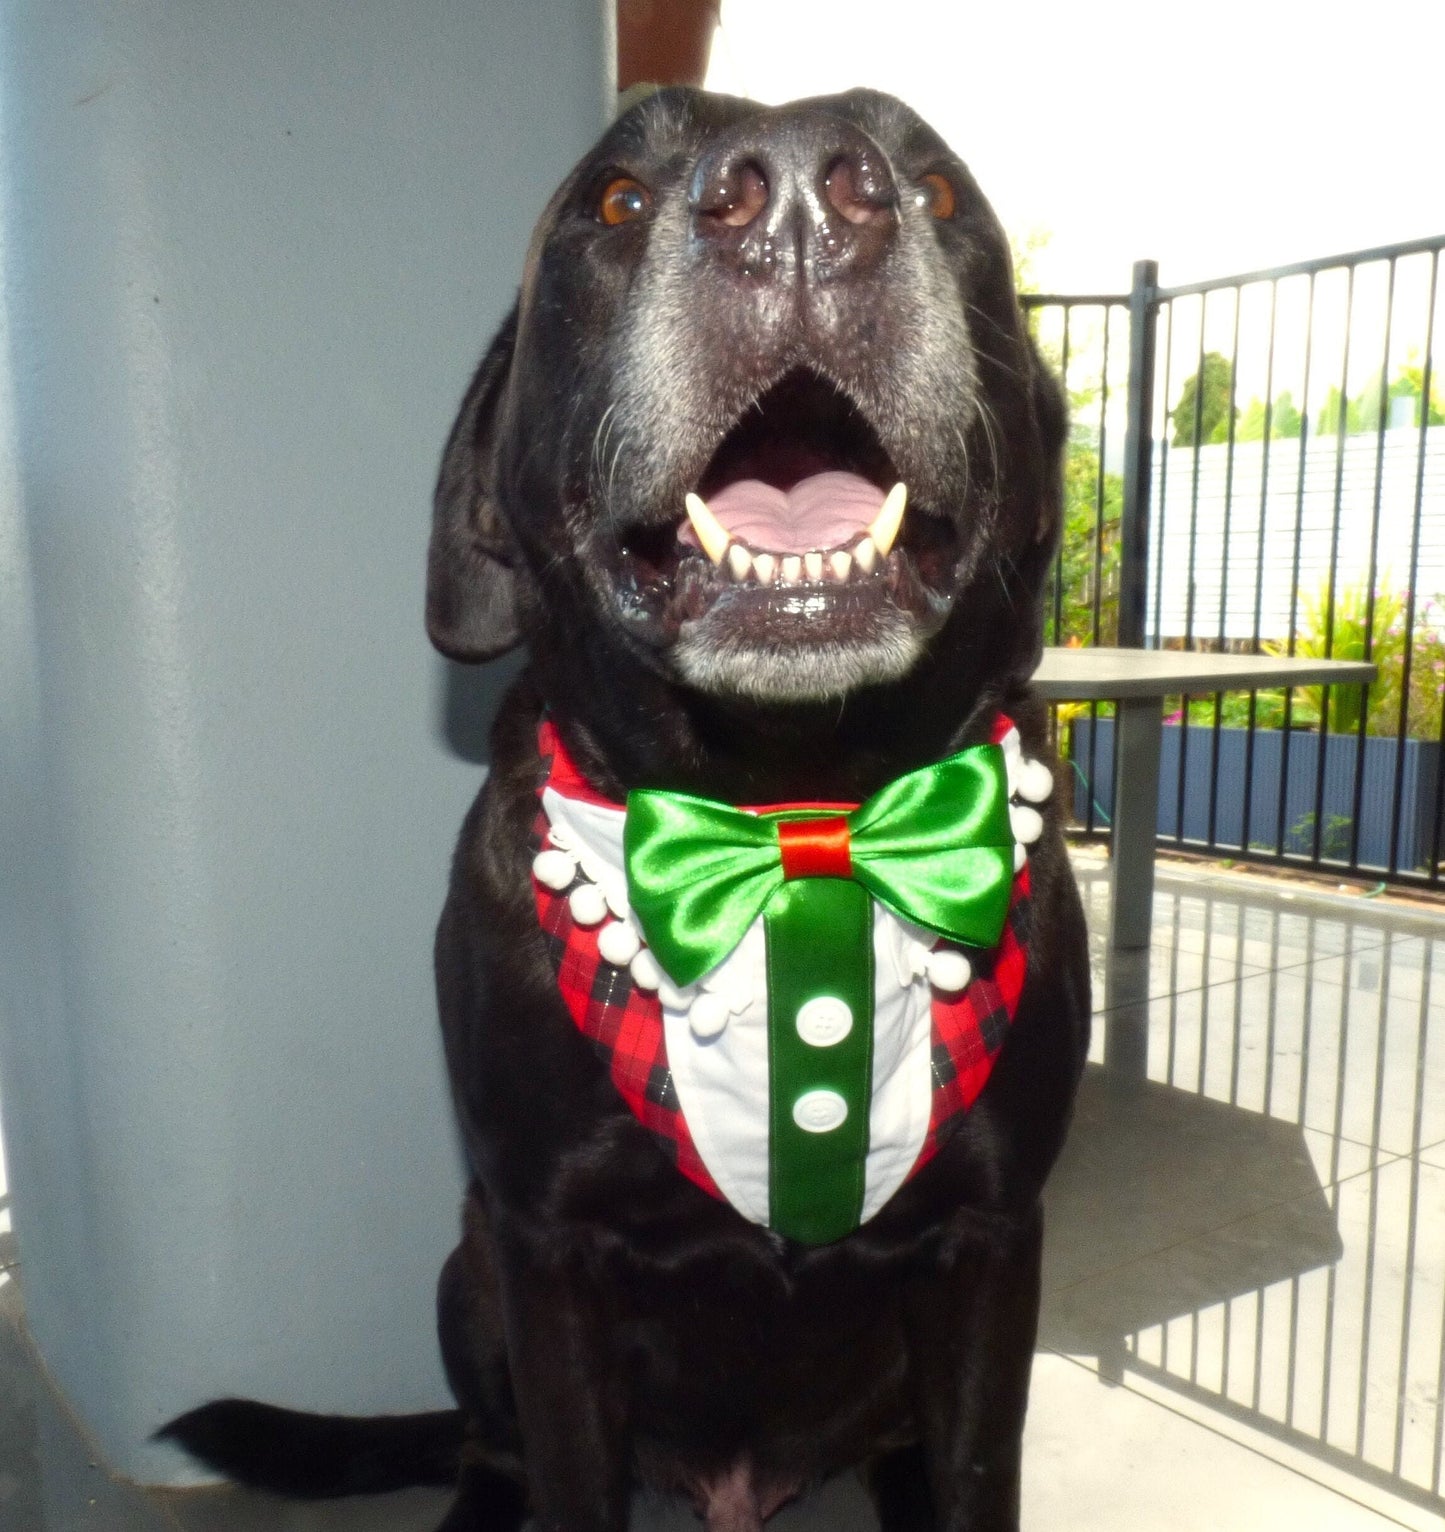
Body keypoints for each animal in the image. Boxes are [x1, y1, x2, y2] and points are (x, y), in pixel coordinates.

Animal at [163, 86, 1091, 1532]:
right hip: (467, 1269)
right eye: (613, 200)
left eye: (940, 193)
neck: (787, 820)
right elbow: (566, 1472)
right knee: (491, 1448)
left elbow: (976, 1474)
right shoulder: (547, 1245)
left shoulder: (992, 1240)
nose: (799, 200)